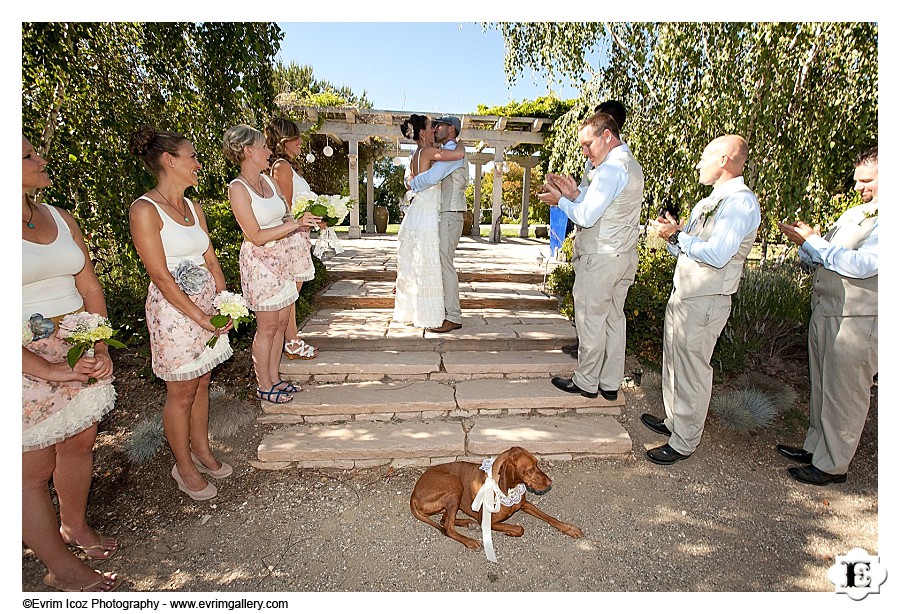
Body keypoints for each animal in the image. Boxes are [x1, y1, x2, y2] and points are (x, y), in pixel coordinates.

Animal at [410, 446, 584, 552]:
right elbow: (519, 528)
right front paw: (510, 532)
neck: (509, 489)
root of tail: (413, 494)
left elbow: (550, 518)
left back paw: (468, 523)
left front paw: (570, 528)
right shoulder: (487, 521)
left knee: (444, 520)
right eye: (529, 470)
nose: (550, 482)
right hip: (455, 484)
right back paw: (470, 541)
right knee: (448, 527)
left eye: (537, 464)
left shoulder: (525, 504)